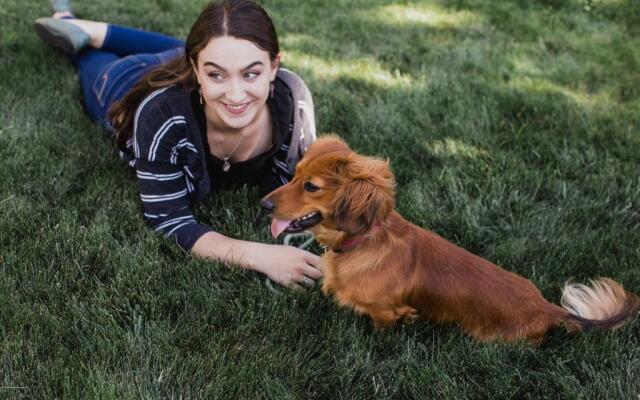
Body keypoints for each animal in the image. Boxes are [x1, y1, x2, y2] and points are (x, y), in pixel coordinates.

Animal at [262, 136, 640, 342]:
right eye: (294, 175)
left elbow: (383, 329)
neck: (364, 243)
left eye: (312, 187)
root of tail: (546, 308)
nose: (263, 204)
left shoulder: (388, 312)